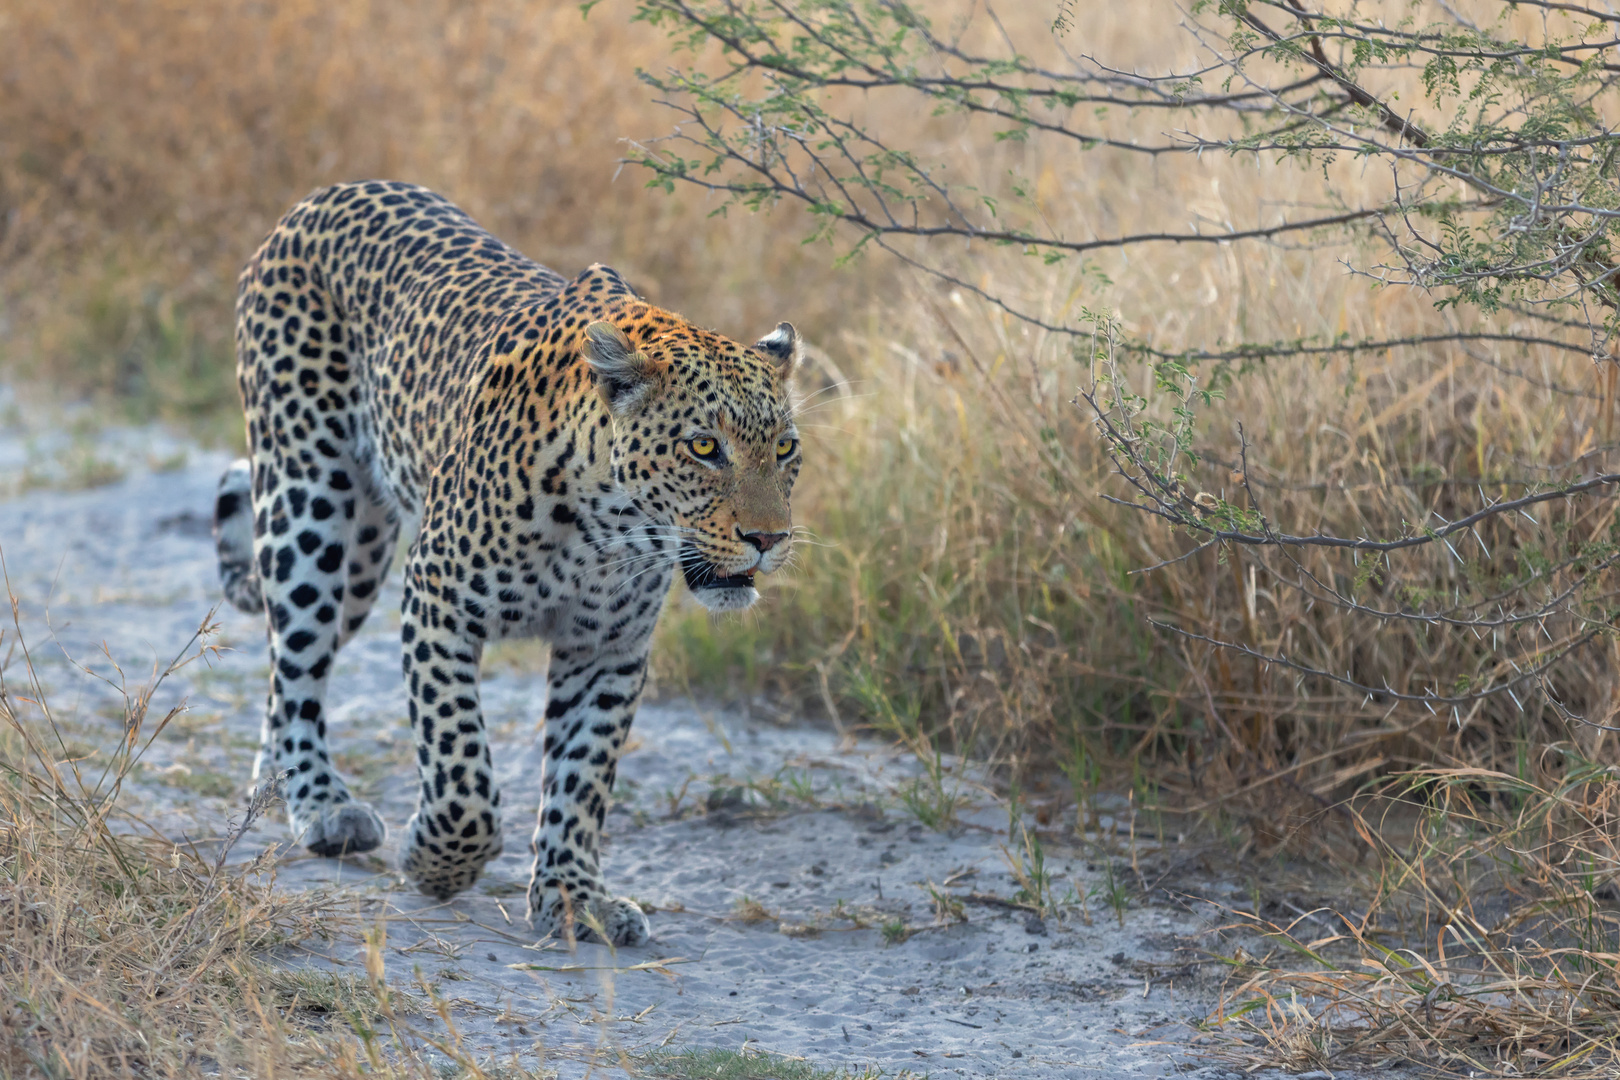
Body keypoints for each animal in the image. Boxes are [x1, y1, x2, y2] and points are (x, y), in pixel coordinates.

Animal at [215, 179, 797, 945]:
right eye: (704, 447)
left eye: (785, 448)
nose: (770, 537)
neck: (611, 532)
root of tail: (324, 195)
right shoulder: (435, 598)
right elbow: (461, 767)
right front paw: (437, 864)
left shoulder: (607, 647)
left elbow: (582, 776)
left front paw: (573, 896)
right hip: (309, 506)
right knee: (299, 656)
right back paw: (317, 804)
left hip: (363, 555)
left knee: (288, 661)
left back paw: (272, 786)